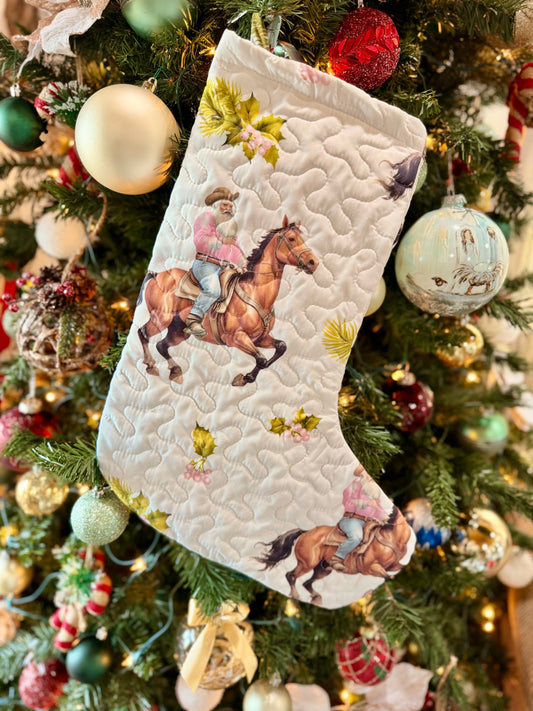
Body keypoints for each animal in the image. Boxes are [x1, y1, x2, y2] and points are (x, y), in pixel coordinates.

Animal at [137, 216, 318, 387]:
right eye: (292, 238)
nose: (313, 262)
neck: (254, 293)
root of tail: (157, 275)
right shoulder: (236, 338)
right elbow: (261, 359)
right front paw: (244, 378)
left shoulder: (259, 339)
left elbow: (280, 347)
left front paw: (247, 377)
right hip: (161, 319)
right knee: (142, 333)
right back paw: (151, 365)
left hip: (178, 332)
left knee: (161, 345)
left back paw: (175, 370)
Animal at [256, 507, 413, 606]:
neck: (391, 537)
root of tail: (306, 532)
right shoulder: (370, 567)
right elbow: (386, 576)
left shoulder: (394, 565)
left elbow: (395, 570)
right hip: (307, 564)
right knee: (291, 575)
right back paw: (296, 595)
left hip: (323, 569)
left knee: (307, 583)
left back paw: (316, 597)